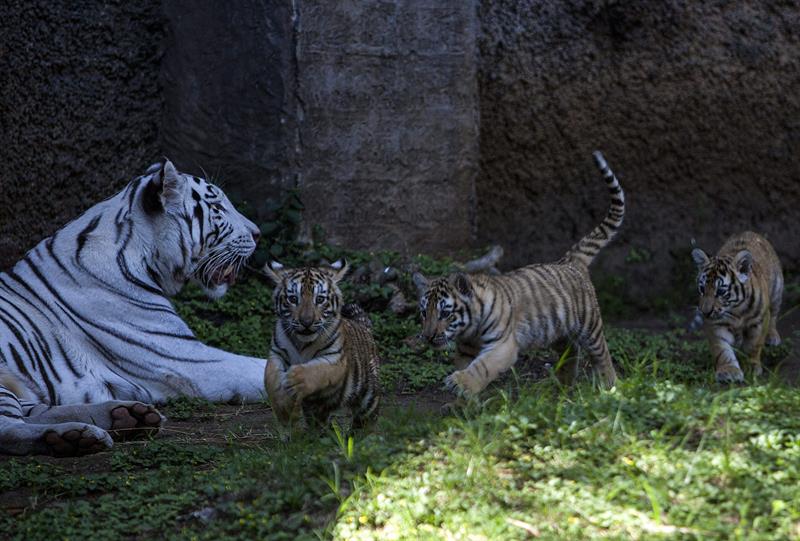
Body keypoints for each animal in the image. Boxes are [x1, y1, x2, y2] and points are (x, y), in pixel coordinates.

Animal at [0, 160, 268, 456]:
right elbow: (263, 367)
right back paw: (73, 436)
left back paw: (126, 416)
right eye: (218, 207)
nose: (258, 233)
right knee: (9, 428)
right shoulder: (185, 359)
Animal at [263, 261, 380, 429]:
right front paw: (285, 410)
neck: (301, 342)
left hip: (368, 399)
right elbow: (270, 379)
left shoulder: (335, 359)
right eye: (293, 299)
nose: (306, 322)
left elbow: (317, 371)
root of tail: (364, 327)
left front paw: (294, 380)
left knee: (366, 419)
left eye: (319, 299)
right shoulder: (276, 354)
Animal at [412, 151, 624, 397]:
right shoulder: (465, 348)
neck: (470, 329)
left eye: (445, 313)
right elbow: (466, 365)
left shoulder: (502, 346)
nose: (428, 336)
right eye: (423, 313)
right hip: (558, 331)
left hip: (589, 323)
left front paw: (460, 383)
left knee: (602, 354)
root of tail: (571, 261)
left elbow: (481, 367)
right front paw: (465, 399)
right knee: (571, 352)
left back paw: (610, 387)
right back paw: (562, 388)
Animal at [691, 231, 783, 383]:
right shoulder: (715, 323)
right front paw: (729, 371)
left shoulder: (760, 320)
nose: (705, 312)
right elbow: (722, 350)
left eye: (720, 291)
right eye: (702, 289)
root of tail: (750, 232)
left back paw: (772, 336)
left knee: (774, 315)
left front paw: (751, 367)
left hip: (777, 291)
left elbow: (753, 345)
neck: (736, 310)